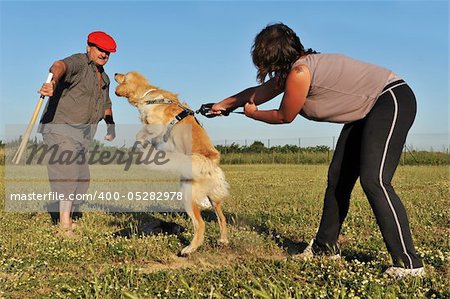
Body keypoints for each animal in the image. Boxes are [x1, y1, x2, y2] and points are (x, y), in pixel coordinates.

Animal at [114, 72, 230, 255]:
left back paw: (189, 249)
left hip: (188, 195)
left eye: (123, 75)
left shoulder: (155, 125)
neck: (148, 96)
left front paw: (143, 146)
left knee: (200, 224)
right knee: (222, 218)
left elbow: (140, 134)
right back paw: (223, 240)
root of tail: (212, 160)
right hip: (214, 199)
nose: (115, 73)